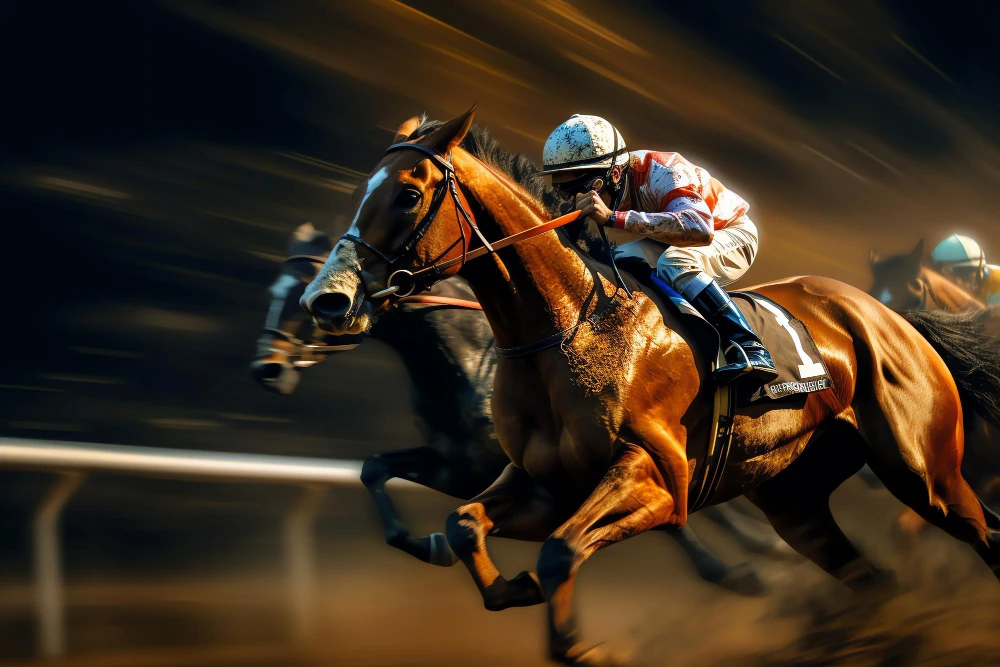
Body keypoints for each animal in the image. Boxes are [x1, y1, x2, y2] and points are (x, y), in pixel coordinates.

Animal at [251, 221, 791, 594]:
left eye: (312, 298)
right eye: (275, 288)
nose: (266, 369)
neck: (467, 359)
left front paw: (731, 572)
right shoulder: (459, 464)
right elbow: (375, 469)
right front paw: (431, 544)